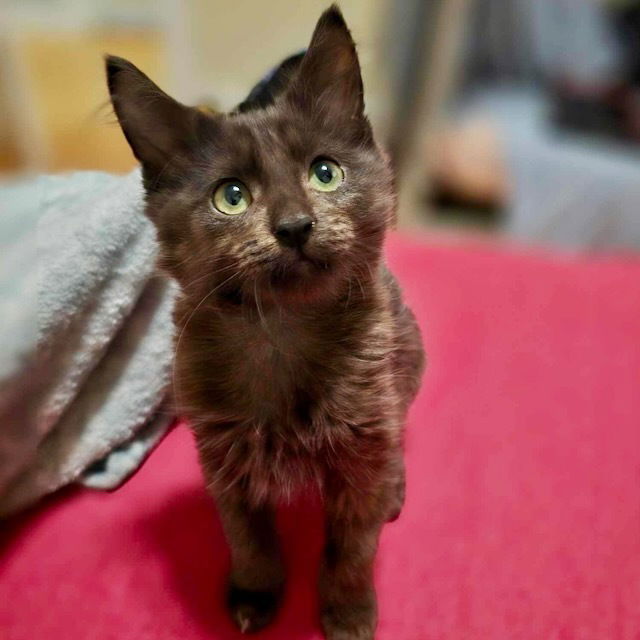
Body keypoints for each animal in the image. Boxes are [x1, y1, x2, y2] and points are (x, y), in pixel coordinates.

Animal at [105, 6, 424, 640]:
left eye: (325, 173)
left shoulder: (362, 445)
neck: (281, 333)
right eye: (231, 196)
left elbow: (353, 548)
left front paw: (349, 612)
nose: (296, 226)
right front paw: (255, 596)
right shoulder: (222, 455)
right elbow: (248, 540)